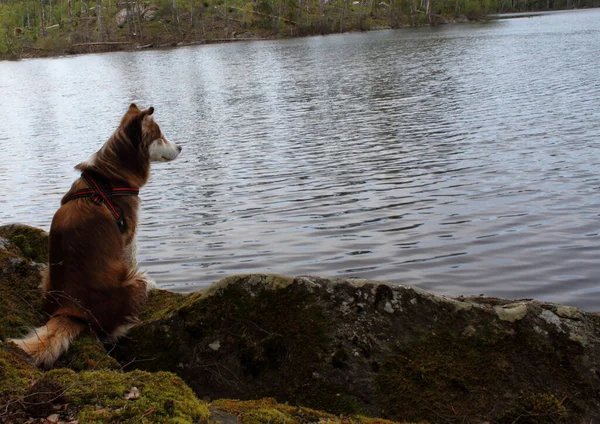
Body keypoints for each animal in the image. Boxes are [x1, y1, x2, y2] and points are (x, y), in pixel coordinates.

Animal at [10, 103, 182, 368]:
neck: (110, 177)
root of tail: (72, 311)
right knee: (111, 331)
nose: (181, 147)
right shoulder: (129, 238)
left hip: (46, 273)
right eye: (160, 136)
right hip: (133, 282)